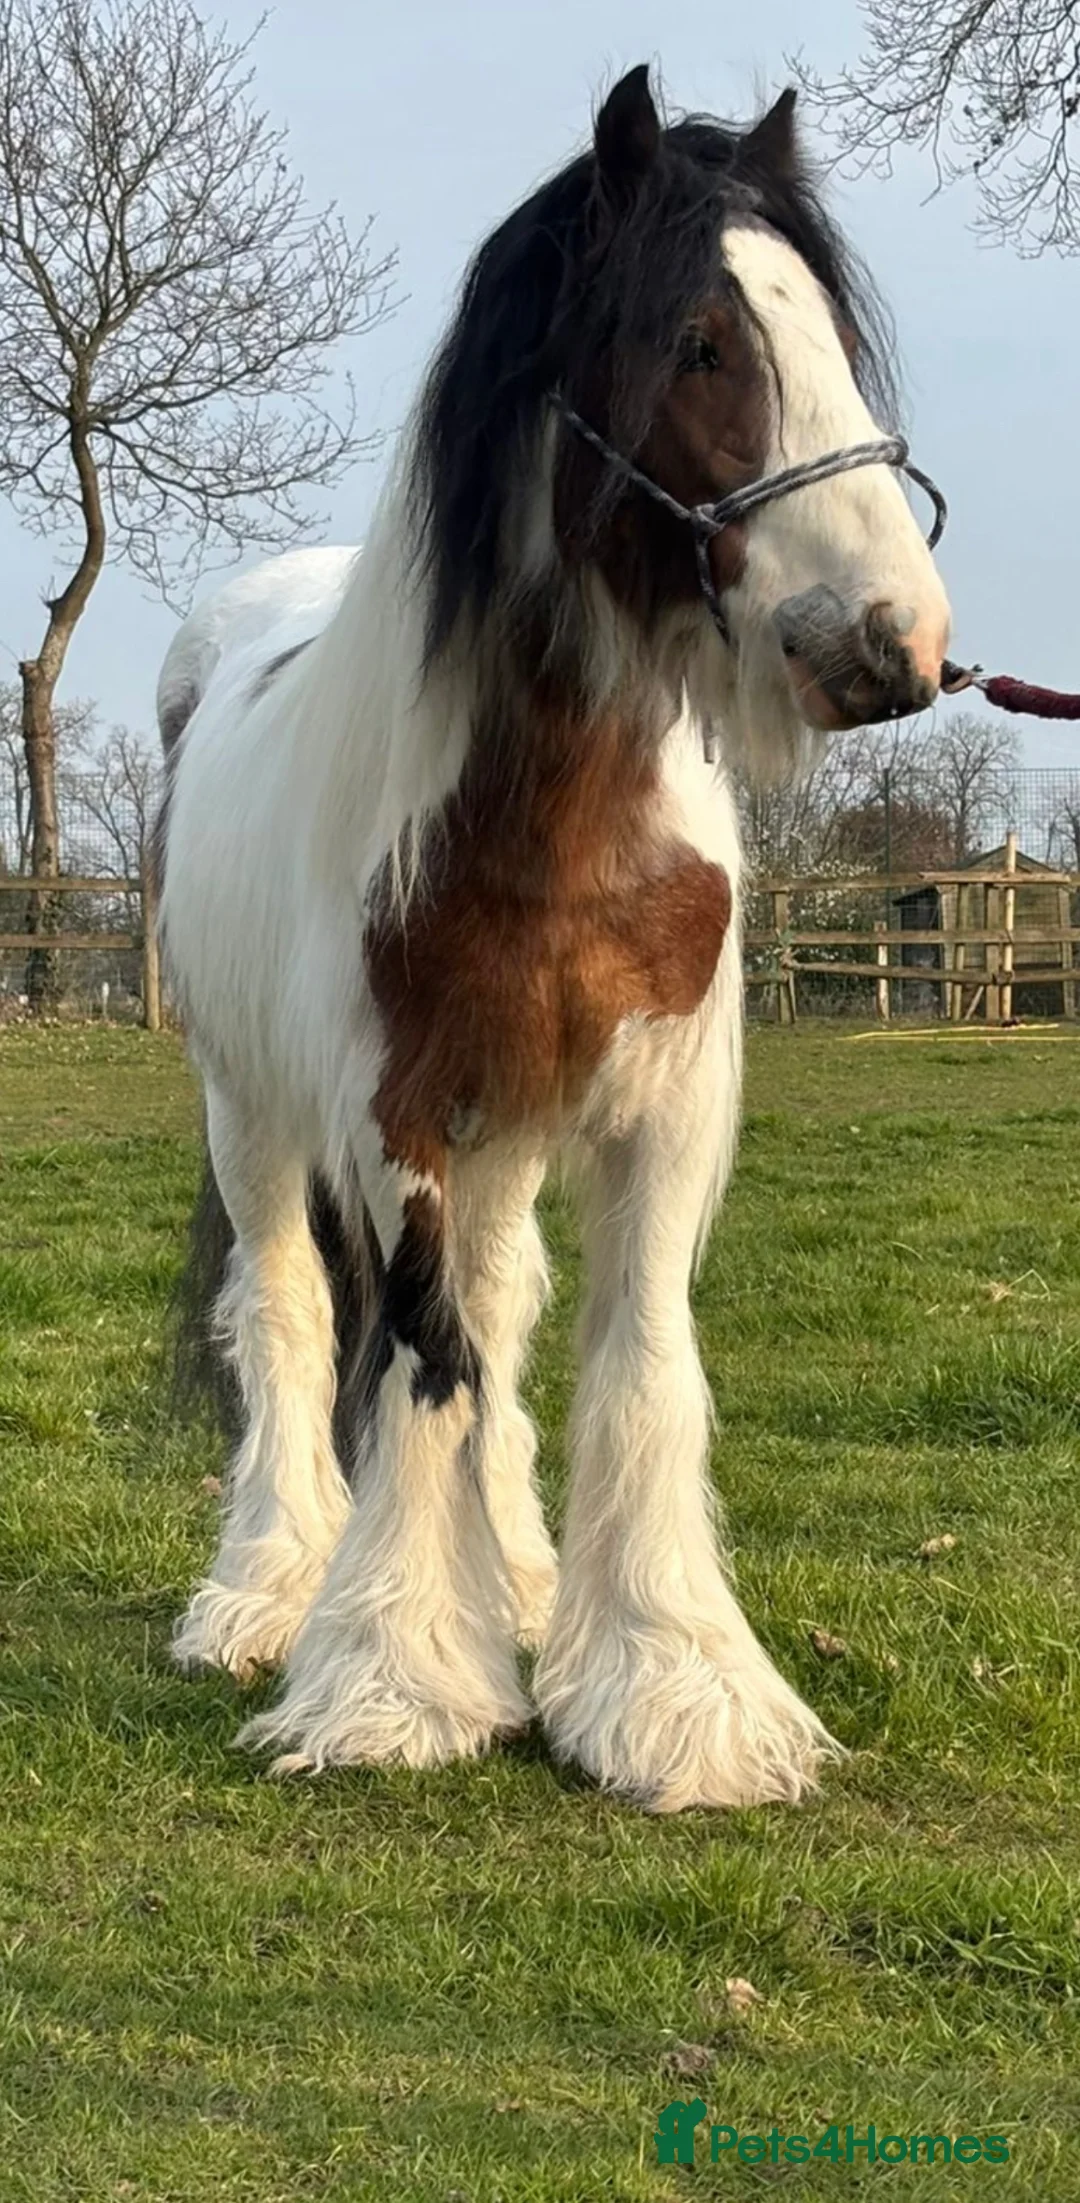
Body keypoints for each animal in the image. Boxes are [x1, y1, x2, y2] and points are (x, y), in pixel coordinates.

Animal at [155, 66, 951, 1811]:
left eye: (830, 333)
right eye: (702, 342)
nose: (894, 643)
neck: (560, 818)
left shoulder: (659, 1107)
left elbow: (633, 1358)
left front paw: (672, 1691)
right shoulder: (396, 1113)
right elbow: (421, 1355)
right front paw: (392, 1682)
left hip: (511, 1121)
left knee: (507, 1303)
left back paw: (514, 1578)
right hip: (252, 1113)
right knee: (293, 1314)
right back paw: (265, 1591)